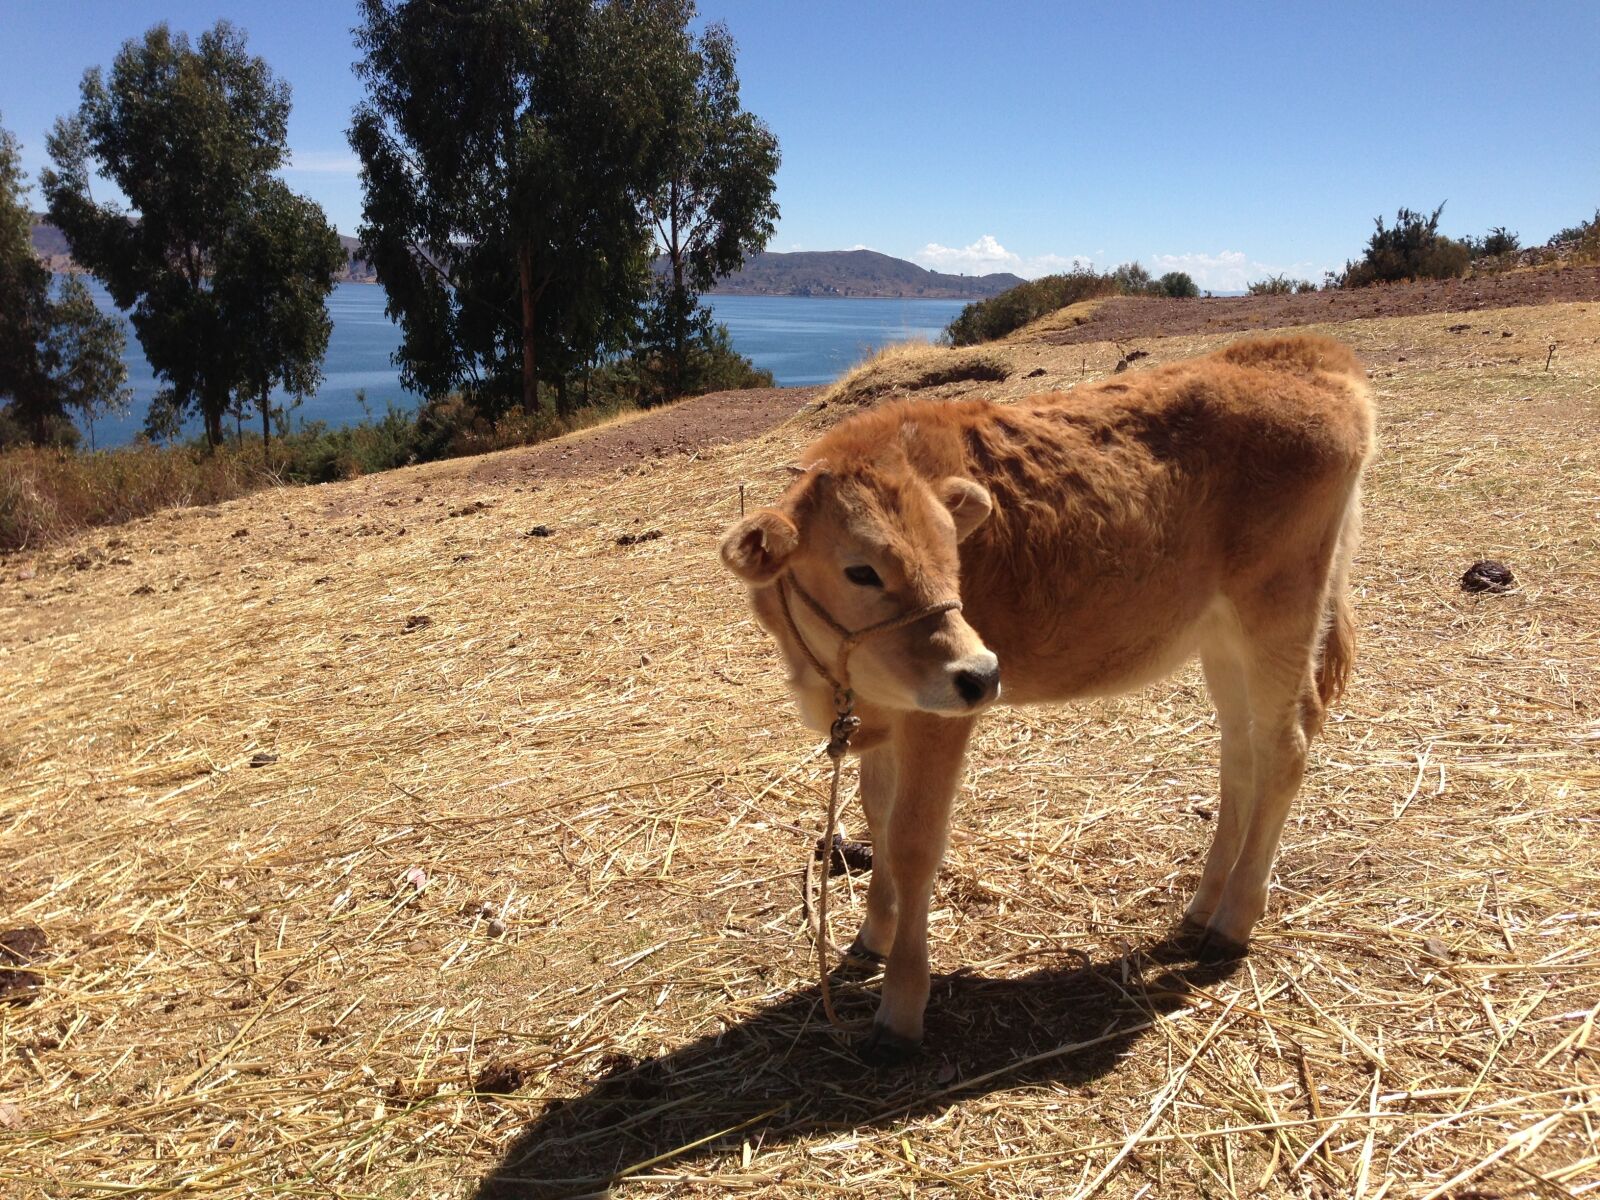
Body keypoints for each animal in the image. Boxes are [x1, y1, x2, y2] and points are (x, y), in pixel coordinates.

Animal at [720, 334, 1375, 1062]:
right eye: (859, 569)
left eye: (954, 555)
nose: (982, 672)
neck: (838, 680)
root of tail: (1305, 353)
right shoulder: (885, 713)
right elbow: (877, 820)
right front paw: (872, 938)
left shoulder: (936, 718)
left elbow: (913, 842)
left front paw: (900, 1006)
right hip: (1223, 635)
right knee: (1243, 753)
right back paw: (1203, 906)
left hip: (1280, 609)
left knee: (1285, 747)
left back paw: (1233, 921)